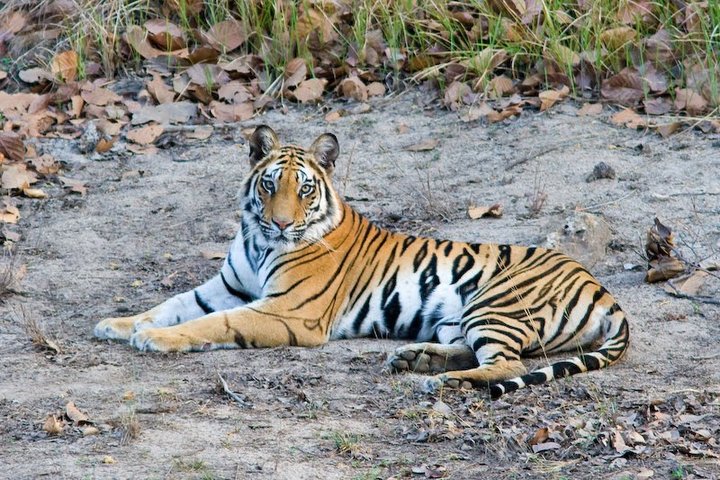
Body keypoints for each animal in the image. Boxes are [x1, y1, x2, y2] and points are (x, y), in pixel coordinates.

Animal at [95, 124, 632, 398]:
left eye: (303, 189)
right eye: (269, 185)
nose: (282, 224)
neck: (259, 240)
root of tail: (602, 288)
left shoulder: (289, 312)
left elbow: (216, 324)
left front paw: (155, 339)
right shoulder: (225, 286)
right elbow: (170, 304)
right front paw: (117, 324)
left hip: (493, 301)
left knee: (506, 365)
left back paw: (440, 380)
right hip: (458, 318)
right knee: (476, 350)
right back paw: (414, 359)